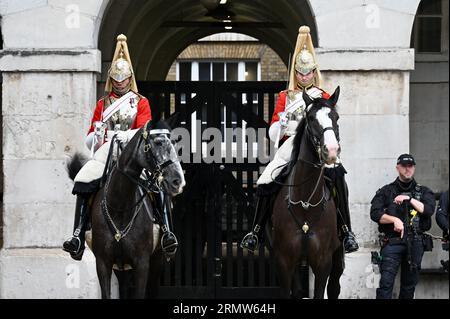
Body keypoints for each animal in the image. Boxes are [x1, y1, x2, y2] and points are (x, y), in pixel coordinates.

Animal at [69, 118, 185, 300]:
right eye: (158, 142)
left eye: (173, 142)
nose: (178, 181)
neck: (120, 207)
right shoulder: (103, 263)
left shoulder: (142, 263)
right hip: (121, 268)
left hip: (157, 259)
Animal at [270, 86, 344, 298]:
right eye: (310, 118)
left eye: (336, 117)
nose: (331, 151)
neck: (305, 202)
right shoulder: (284, 261)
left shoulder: (323, 262)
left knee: (334, 288)